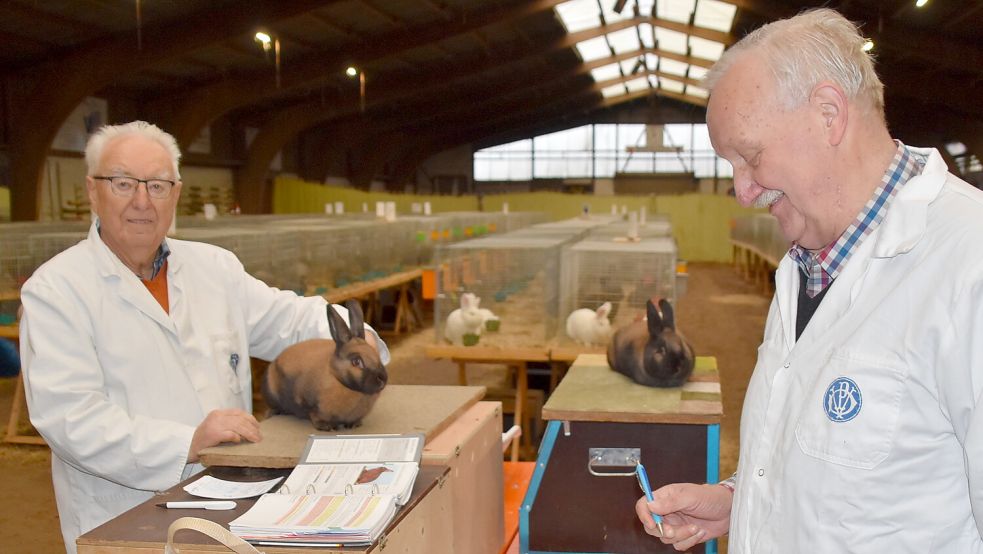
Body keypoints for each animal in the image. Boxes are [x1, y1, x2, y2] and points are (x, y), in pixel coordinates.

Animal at [262, 300, 388, 430]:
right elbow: (314, 416)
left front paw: (354, 424)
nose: (382, 379)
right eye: (356, 362)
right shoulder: (311, 406)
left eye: (376, 355)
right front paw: (327, 427)